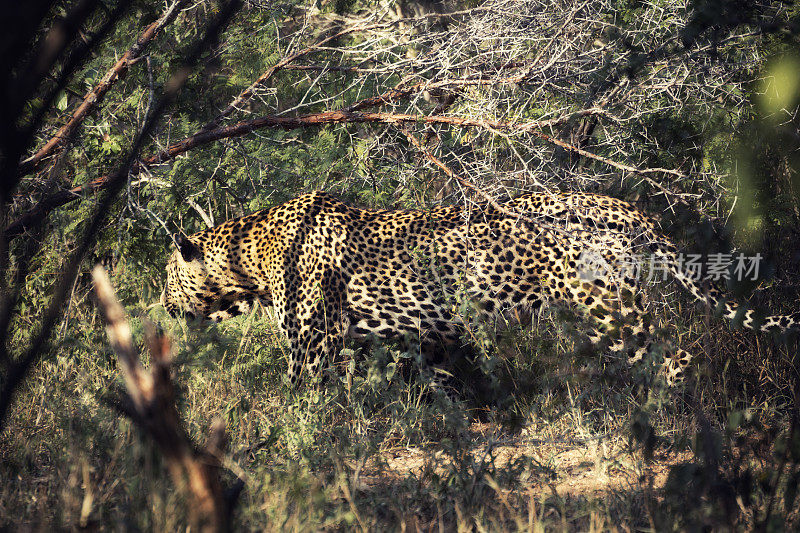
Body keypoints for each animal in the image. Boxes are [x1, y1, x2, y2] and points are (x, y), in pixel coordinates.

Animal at [161, 191, 800, 386]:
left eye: (167, 276)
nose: (162, 307)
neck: (246, 257)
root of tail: (620, 206)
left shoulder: (310, 343)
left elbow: (299, 398)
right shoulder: (362, 340)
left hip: (611, 312)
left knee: (676, 358)